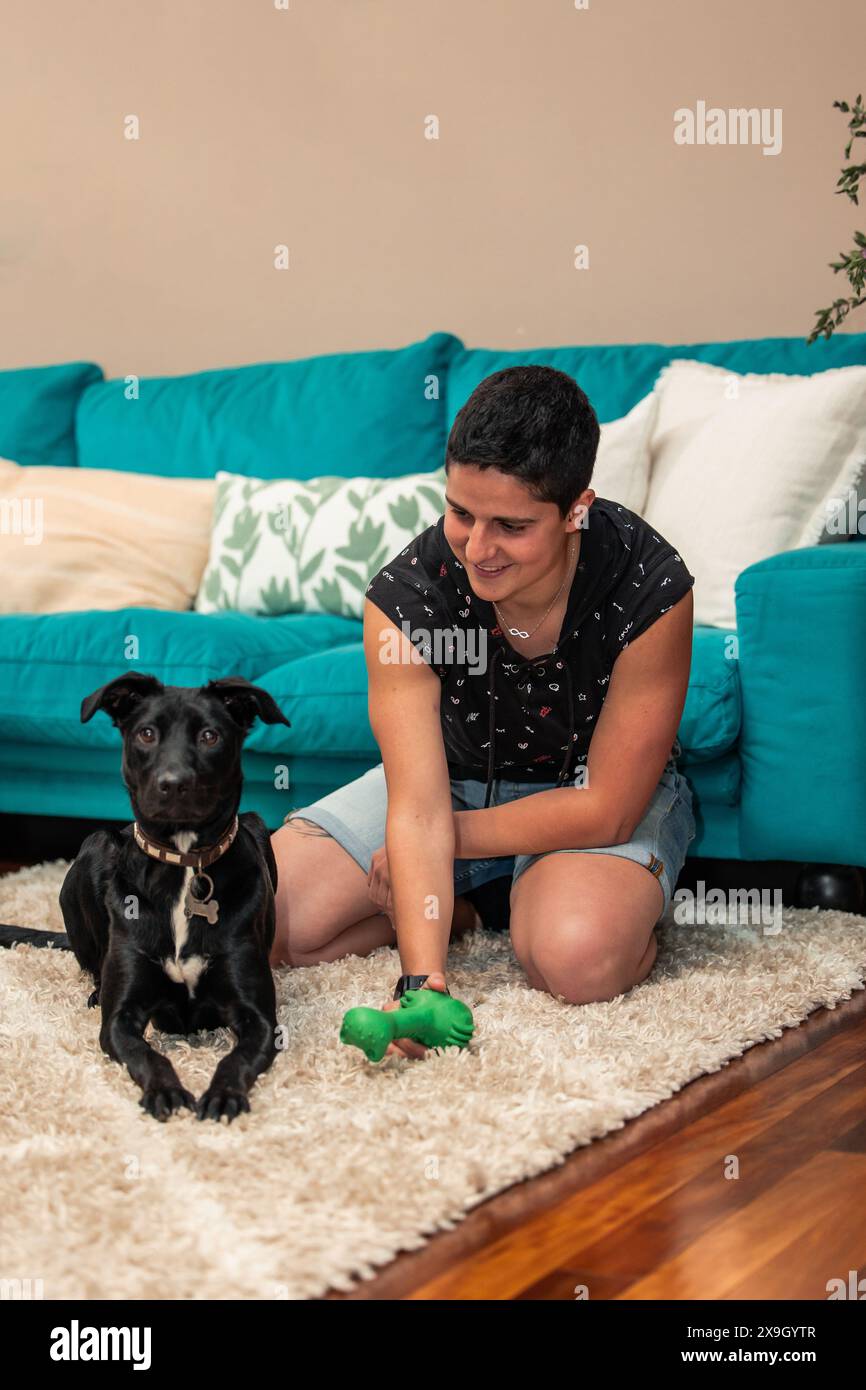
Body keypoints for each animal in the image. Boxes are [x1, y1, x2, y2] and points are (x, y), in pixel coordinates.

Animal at [0, 678, 291, 1123]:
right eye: (147, 734)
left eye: (210, 736)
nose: (173, 784)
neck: (184, 864)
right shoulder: (119, 1020)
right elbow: (146, 1055)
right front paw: (165, 1092)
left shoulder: (260, 1020)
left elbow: (235, 1058)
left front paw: (223, 1095)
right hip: (97, 843)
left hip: (256, 824)